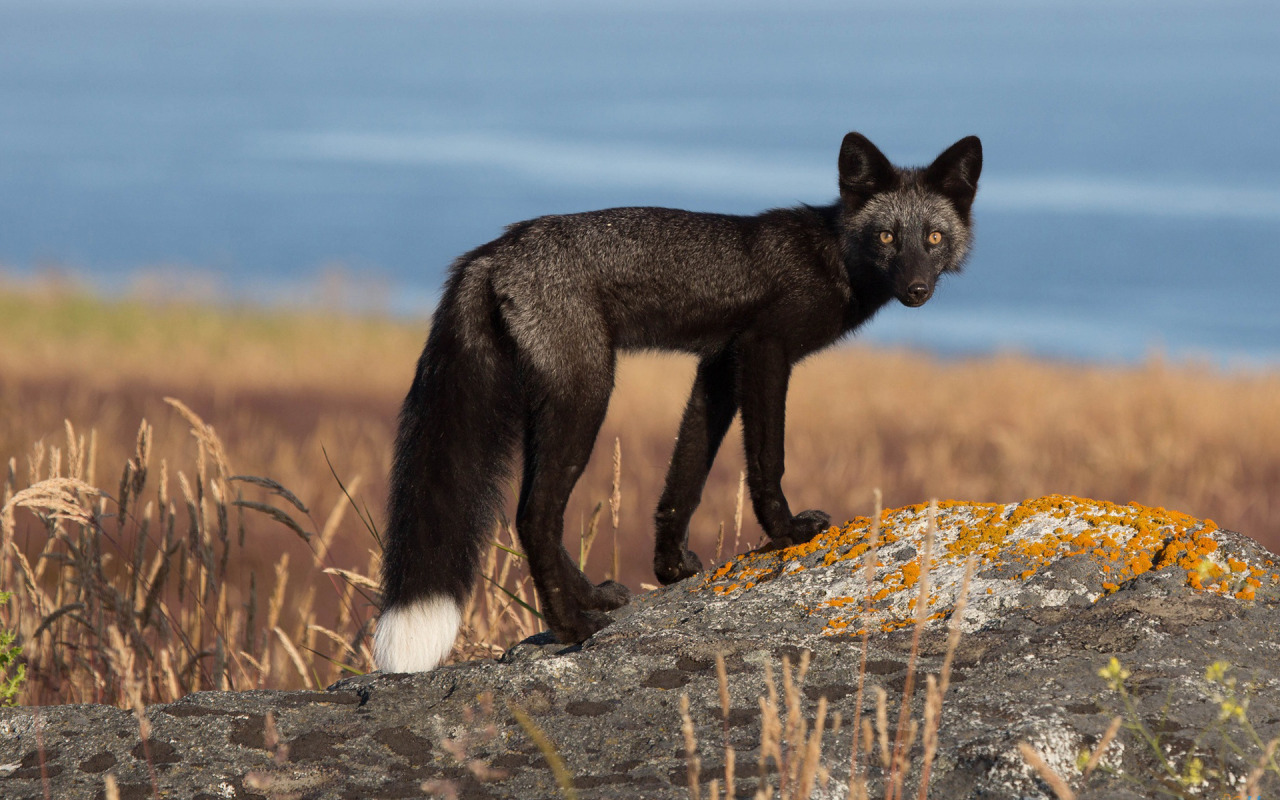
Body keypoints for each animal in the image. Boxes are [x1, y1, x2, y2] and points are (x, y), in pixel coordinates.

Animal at [373, 134, 983, 670]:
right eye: (886, 238)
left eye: (932, 238)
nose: (917, 290)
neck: (831, 257)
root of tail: (492, 251)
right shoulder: (764, 349)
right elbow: (767, 459)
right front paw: (786, 532)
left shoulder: (718, 365)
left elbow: (684, 476)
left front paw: (669, 569)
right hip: (586, 395)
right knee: (533, 516)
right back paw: (572, 627)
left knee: (541, 515)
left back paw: (594, 599)